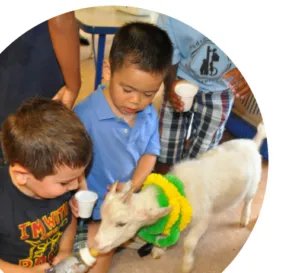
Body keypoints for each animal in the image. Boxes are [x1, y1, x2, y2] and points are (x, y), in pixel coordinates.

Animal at [95, 123, 266, 272]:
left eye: (121, 223)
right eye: (102, 218)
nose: (96, 243)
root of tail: (252, 143)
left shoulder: (203, 220)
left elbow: (189, 243)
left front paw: (187, 265)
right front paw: (159, 249)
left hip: (253, 185)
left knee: (248, 201)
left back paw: (245, 218)